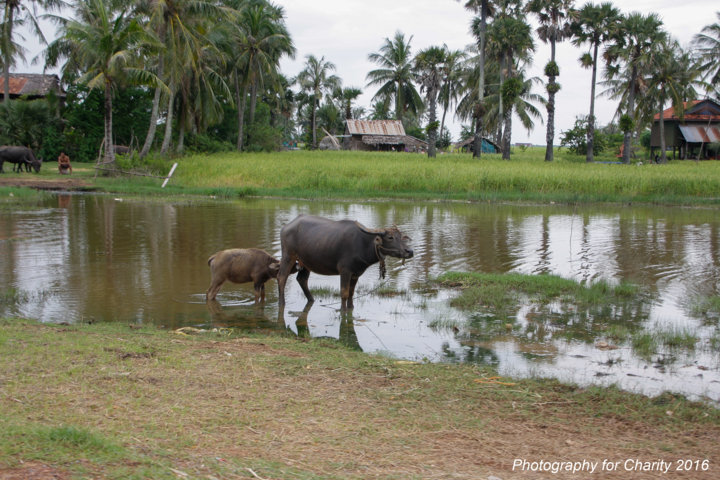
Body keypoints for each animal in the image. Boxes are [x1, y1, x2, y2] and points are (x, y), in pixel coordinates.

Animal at [277, 215, 414, 310]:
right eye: (390, 237)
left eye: (401, 236)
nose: (410, 251)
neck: (362, 245)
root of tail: (285, 227)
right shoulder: (345, 271)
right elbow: (344, 293)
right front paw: (343, 311)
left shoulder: (356, 273)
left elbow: (351, 293)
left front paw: (351, 307)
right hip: (288, 256)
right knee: (282, 277)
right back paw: (281, 303)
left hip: (306, 262)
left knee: (302, 279)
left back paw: (311, 300)